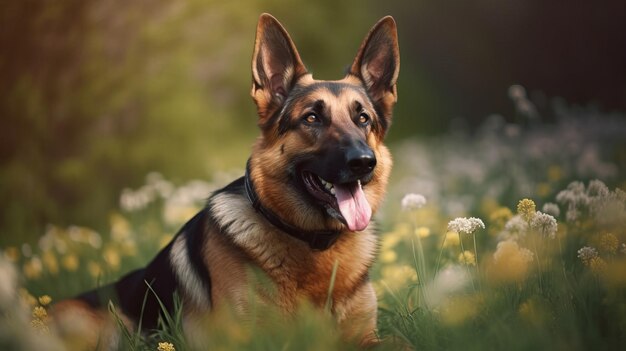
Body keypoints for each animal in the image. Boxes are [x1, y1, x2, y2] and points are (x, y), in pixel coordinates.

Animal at [52, 12, 394, 348]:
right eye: (312, 118)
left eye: (363, 118)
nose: (364, 162)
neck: (313, 244)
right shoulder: (251, 341)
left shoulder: (368, 338)